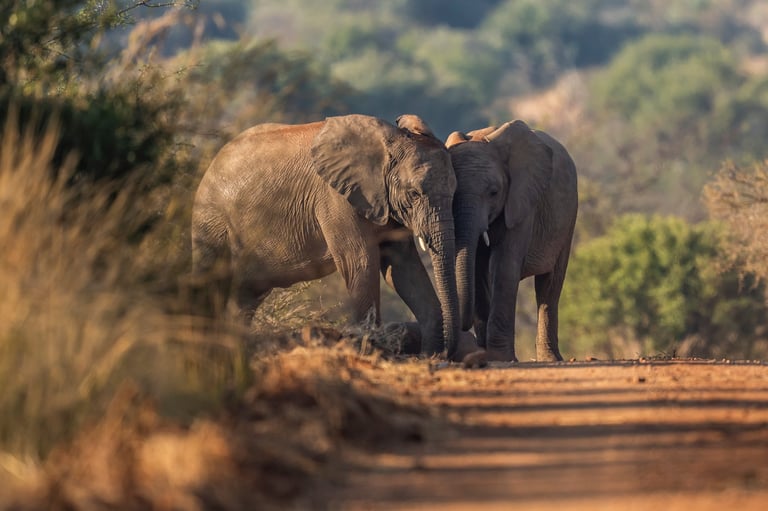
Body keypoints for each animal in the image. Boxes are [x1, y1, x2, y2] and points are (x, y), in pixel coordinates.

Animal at [191, 114, 461, 358]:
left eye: (454, 192)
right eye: (414, 194)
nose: (444, 355)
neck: (389, 142)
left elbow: (404, 269)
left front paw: (429, 355)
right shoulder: (338, 198)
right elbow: (360, 262)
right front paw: (367, 349)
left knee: (244, 298)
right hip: (211, 222)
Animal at [444, 120, 578, 362]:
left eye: (494, 192)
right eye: (453, 192)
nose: (464, 328)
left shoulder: (522, 202)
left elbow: (504, 265)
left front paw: (500, 357)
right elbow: (477, 269)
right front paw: (489, 356)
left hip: (569, 215)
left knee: (549, 285)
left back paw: (551, 359)